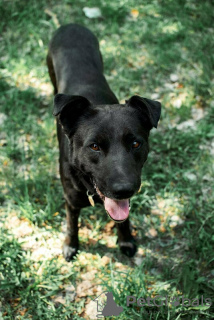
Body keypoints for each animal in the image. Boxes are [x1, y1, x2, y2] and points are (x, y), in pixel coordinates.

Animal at [46, 23, 160, 262]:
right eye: (94, 146)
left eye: (135, 144)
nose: (124, 190)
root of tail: (71, 24)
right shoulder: (70, 200)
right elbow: (72, 225)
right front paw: (71, 245)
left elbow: (123, 219)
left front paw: (126, 240)